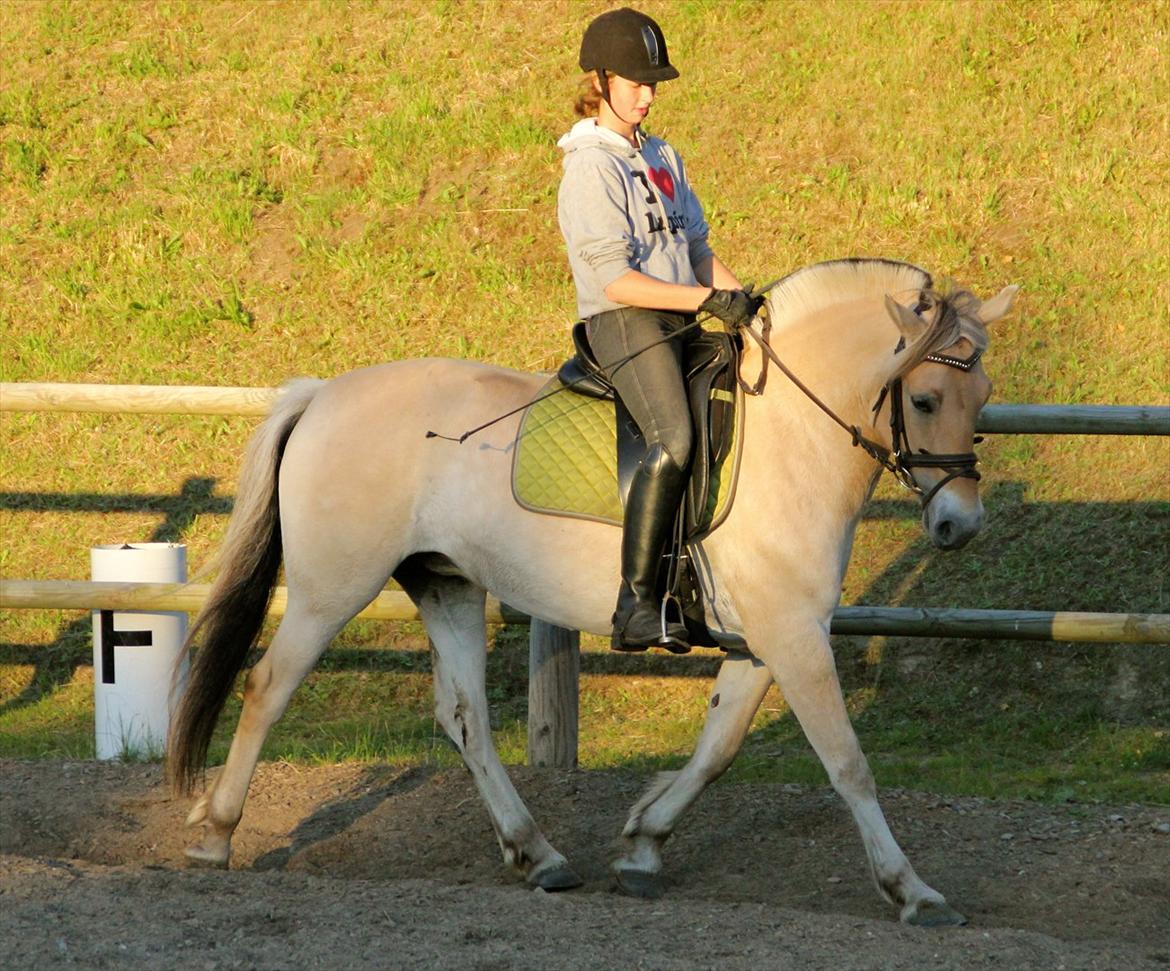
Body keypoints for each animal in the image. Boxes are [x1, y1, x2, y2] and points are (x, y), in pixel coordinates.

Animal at [164, 258, 1015, 926]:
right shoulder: (793, 632)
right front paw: (913, 889)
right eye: (926, 399)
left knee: (465, 716)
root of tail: (322, 394)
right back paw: (213, 833)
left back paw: (535, 852)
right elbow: (847, 761)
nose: (960, 524)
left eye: (983, 395)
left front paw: (642, 842)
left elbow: (719, 746)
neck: (789, 439)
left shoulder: (770, 635)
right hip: (329, 588)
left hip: (446, 582)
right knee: (269, 686)